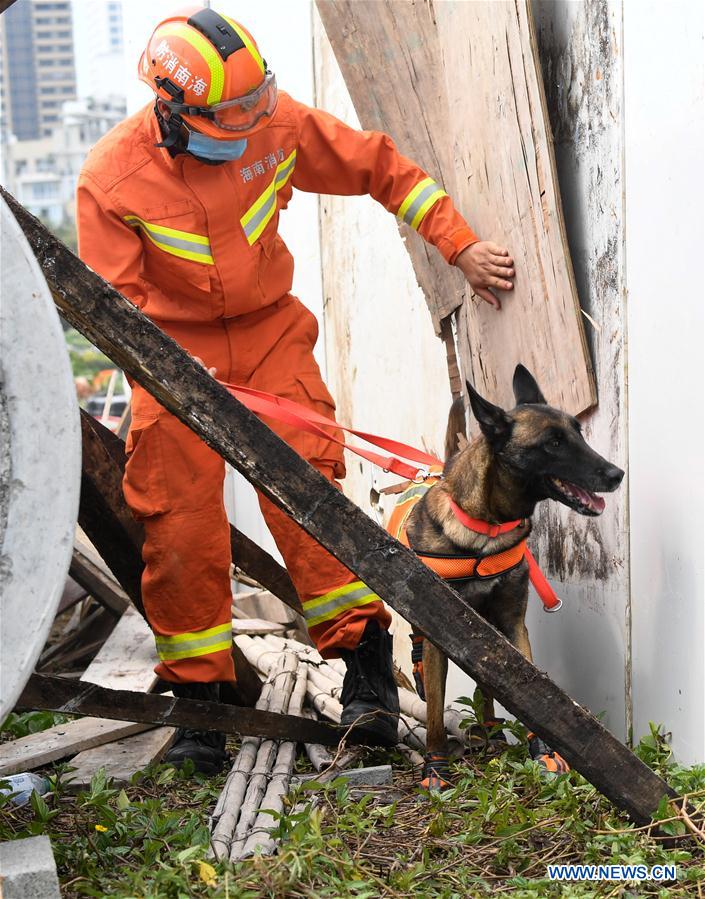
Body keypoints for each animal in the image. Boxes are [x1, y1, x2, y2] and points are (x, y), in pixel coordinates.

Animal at [394, 364, 624, 788]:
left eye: (578, 433)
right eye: (553, 443)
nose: (616, 474)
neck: (486, 529)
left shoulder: (512, 623)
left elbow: (530, 693)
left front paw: (542, 751)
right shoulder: (438, 634)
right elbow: (434, 708)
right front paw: (435, 765)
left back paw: (491, 733)